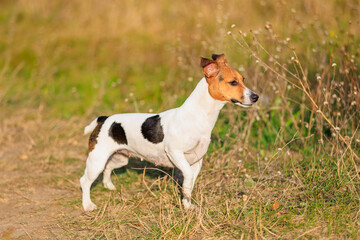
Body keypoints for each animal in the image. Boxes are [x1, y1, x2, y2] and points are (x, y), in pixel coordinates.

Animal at [81, 54, 258, 210]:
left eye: (243, 79)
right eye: (233, 82)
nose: (256, 97)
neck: (199, 116)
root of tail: (104, 119)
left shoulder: (197, 161)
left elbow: (189, 185)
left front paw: (187, 205)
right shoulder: (176, 153)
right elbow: (187, 177)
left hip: (120, 158)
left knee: (108, 167)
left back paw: (108, 185)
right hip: (96, 160)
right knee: (85, 181)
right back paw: (88, 205)